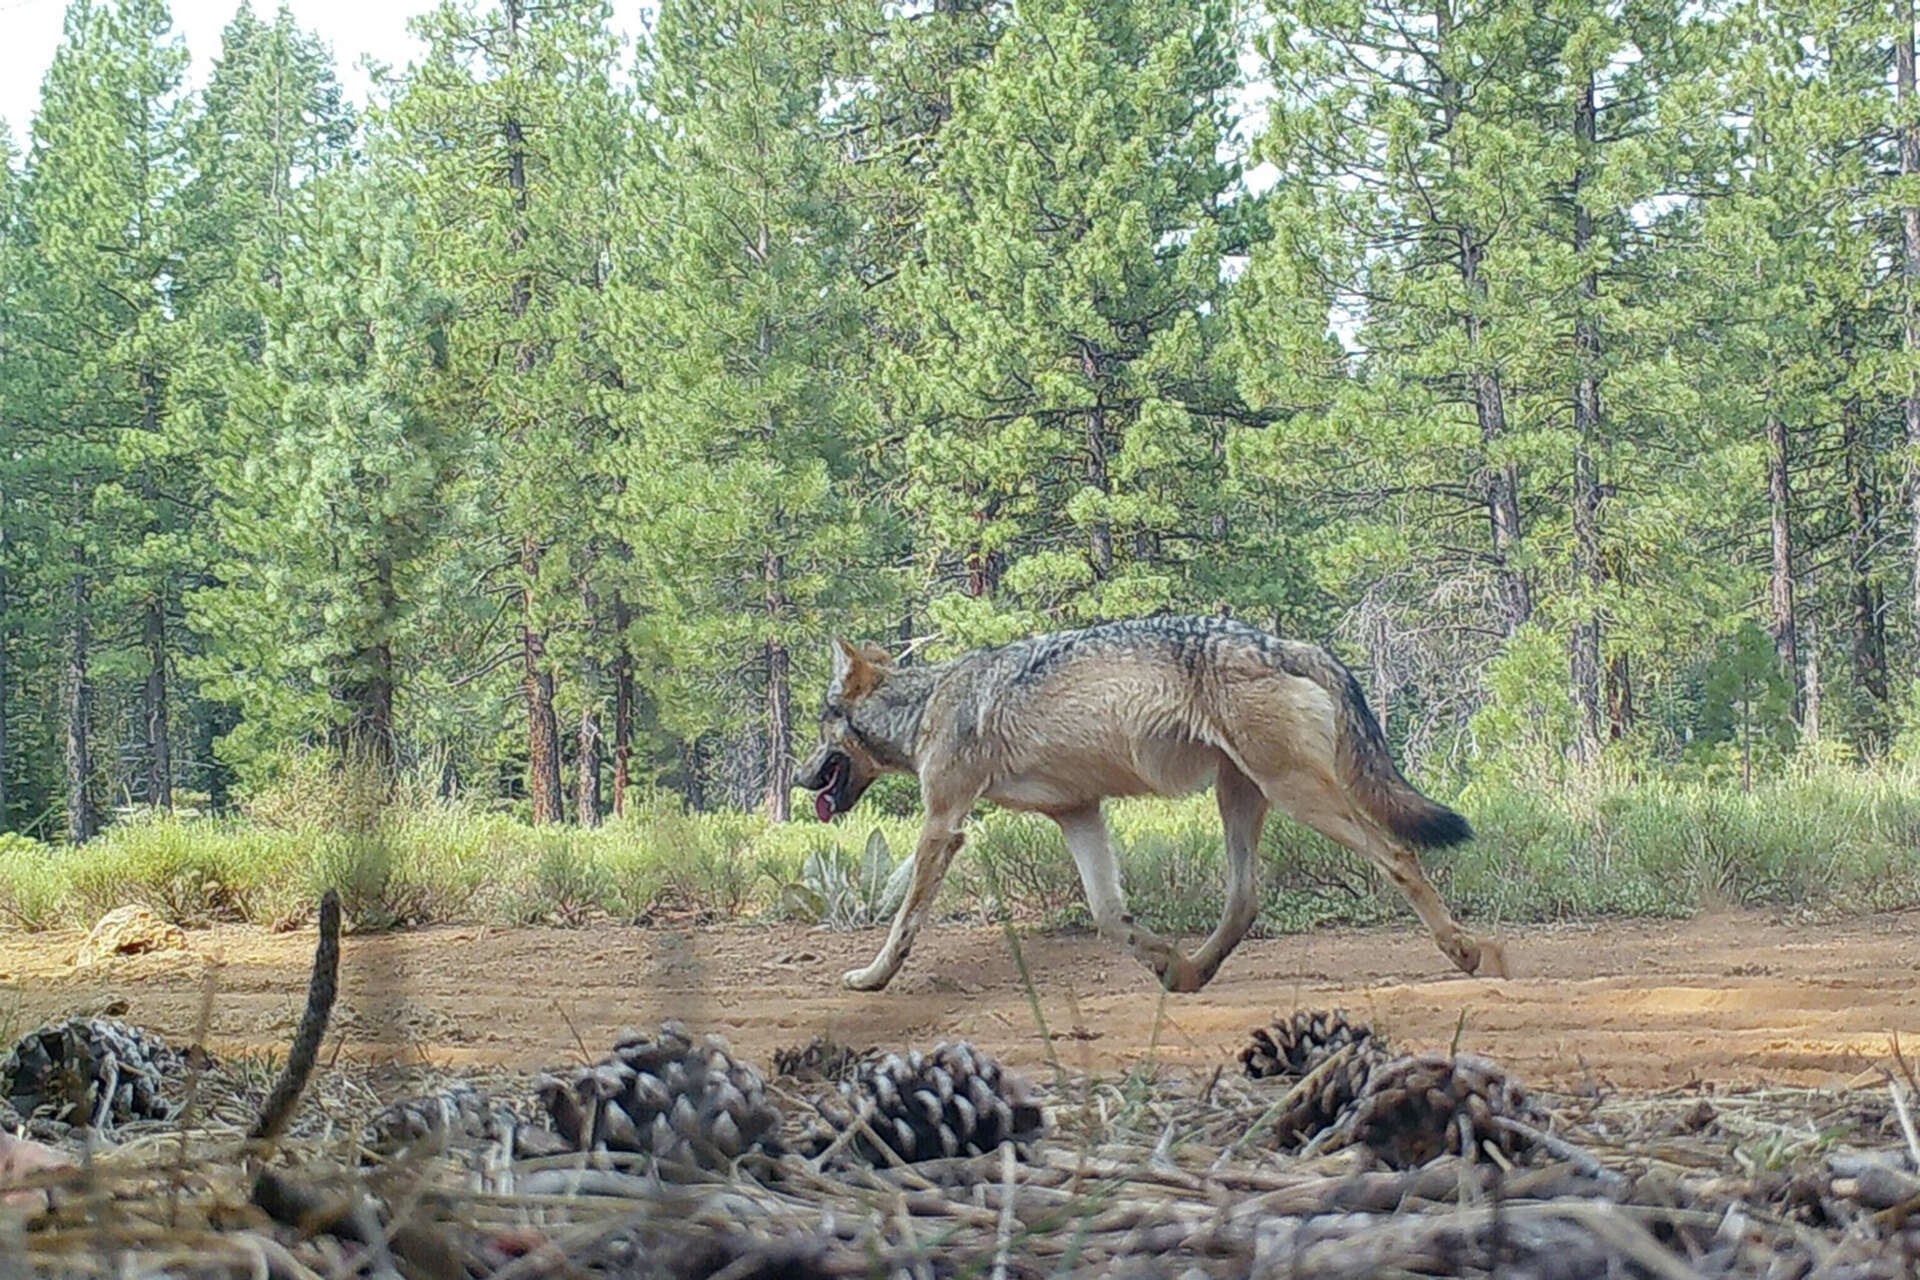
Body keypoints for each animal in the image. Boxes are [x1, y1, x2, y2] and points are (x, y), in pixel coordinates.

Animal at [787, 614, 1505, 997]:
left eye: (818, 725)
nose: (796, 779)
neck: (925, 705)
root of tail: (1284, 642)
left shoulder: (944, 823)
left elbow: (903, 923)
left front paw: (871, 979)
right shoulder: (1079, 813)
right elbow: (1109, 917)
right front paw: (1158, 953)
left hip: (1299, 796)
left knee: (1398, 853)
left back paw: (1468, 952)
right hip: (1241, 799)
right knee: (1245, 901)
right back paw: (1188, 972)